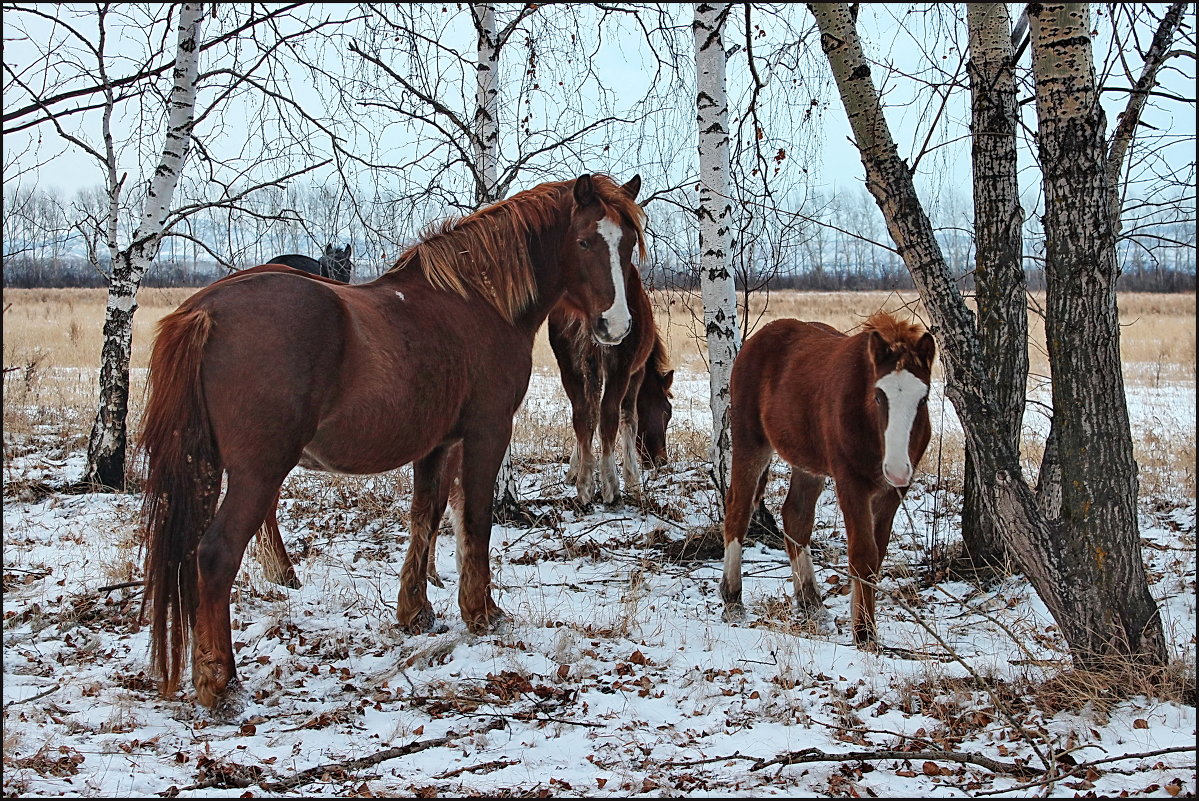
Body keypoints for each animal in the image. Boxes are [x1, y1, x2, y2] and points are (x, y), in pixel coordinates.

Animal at [140, 173, 647, 705]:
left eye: (627, 244)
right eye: (586, 241)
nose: (616, 325)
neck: (476, 303)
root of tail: (204, 312)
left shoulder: (439, 444)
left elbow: (426, 516)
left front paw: (416, 612)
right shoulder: (486, 431)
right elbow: (476, 520)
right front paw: (482, 612)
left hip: (206, 467)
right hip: (258, 471)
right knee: (216, 555)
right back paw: (219, 681)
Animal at [549, 268, 676, 506]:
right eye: (667, 412)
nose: (660, 460)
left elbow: (590, 416)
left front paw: (575, 470)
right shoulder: (636, 372)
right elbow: (629, 418)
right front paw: (633, 482)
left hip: (568, 365)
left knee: (581, 414)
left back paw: (585, 486)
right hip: (619, 367)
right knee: (609, 415)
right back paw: (611, 488)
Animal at [714, 309, 930, 647]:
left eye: (923, 399)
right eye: (878, 397)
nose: (896, 468)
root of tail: (757, 340)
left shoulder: (893, 492)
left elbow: (876, 554)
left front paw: (863, 625)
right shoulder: (850, 481)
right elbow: (863, 553)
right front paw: (864, 633)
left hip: (808, 462)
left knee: (796, 516)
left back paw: (811, 603)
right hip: (751, 440)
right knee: (738, 508)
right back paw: (733, 599)